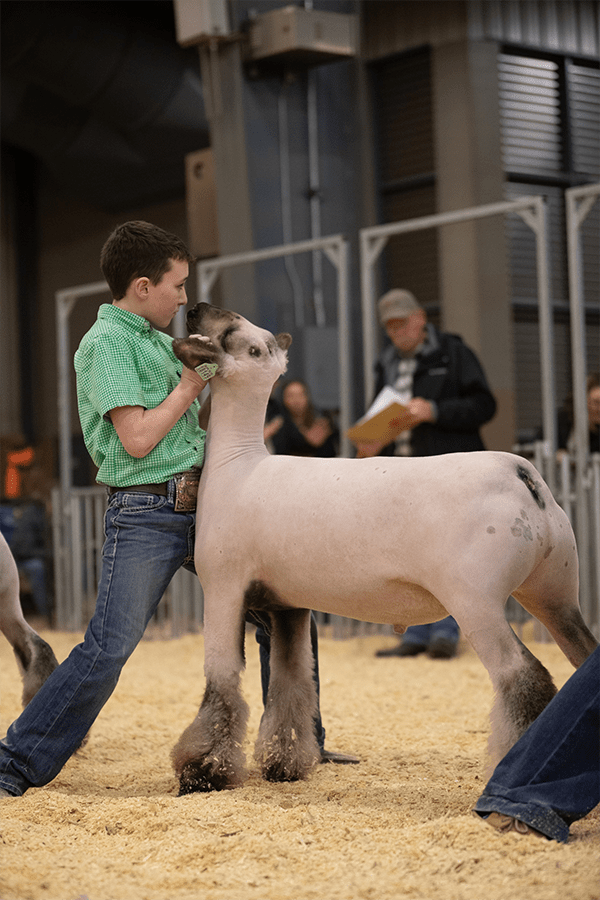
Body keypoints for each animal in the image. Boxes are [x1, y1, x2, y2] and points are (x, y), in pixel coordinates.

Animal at [170, 303, 598, 796]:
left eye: (243, 341)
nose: (195, 308)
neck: (237, 463)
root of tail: (523, 473)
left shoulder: (224, 588)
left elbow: (221, 682)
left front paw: (202, 772)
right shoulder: (289, 605)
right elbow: (292, 683)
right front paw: (284, 764)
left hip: (475, 599)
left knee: (523, 676)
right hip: (555, 592)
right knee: (585, 658)